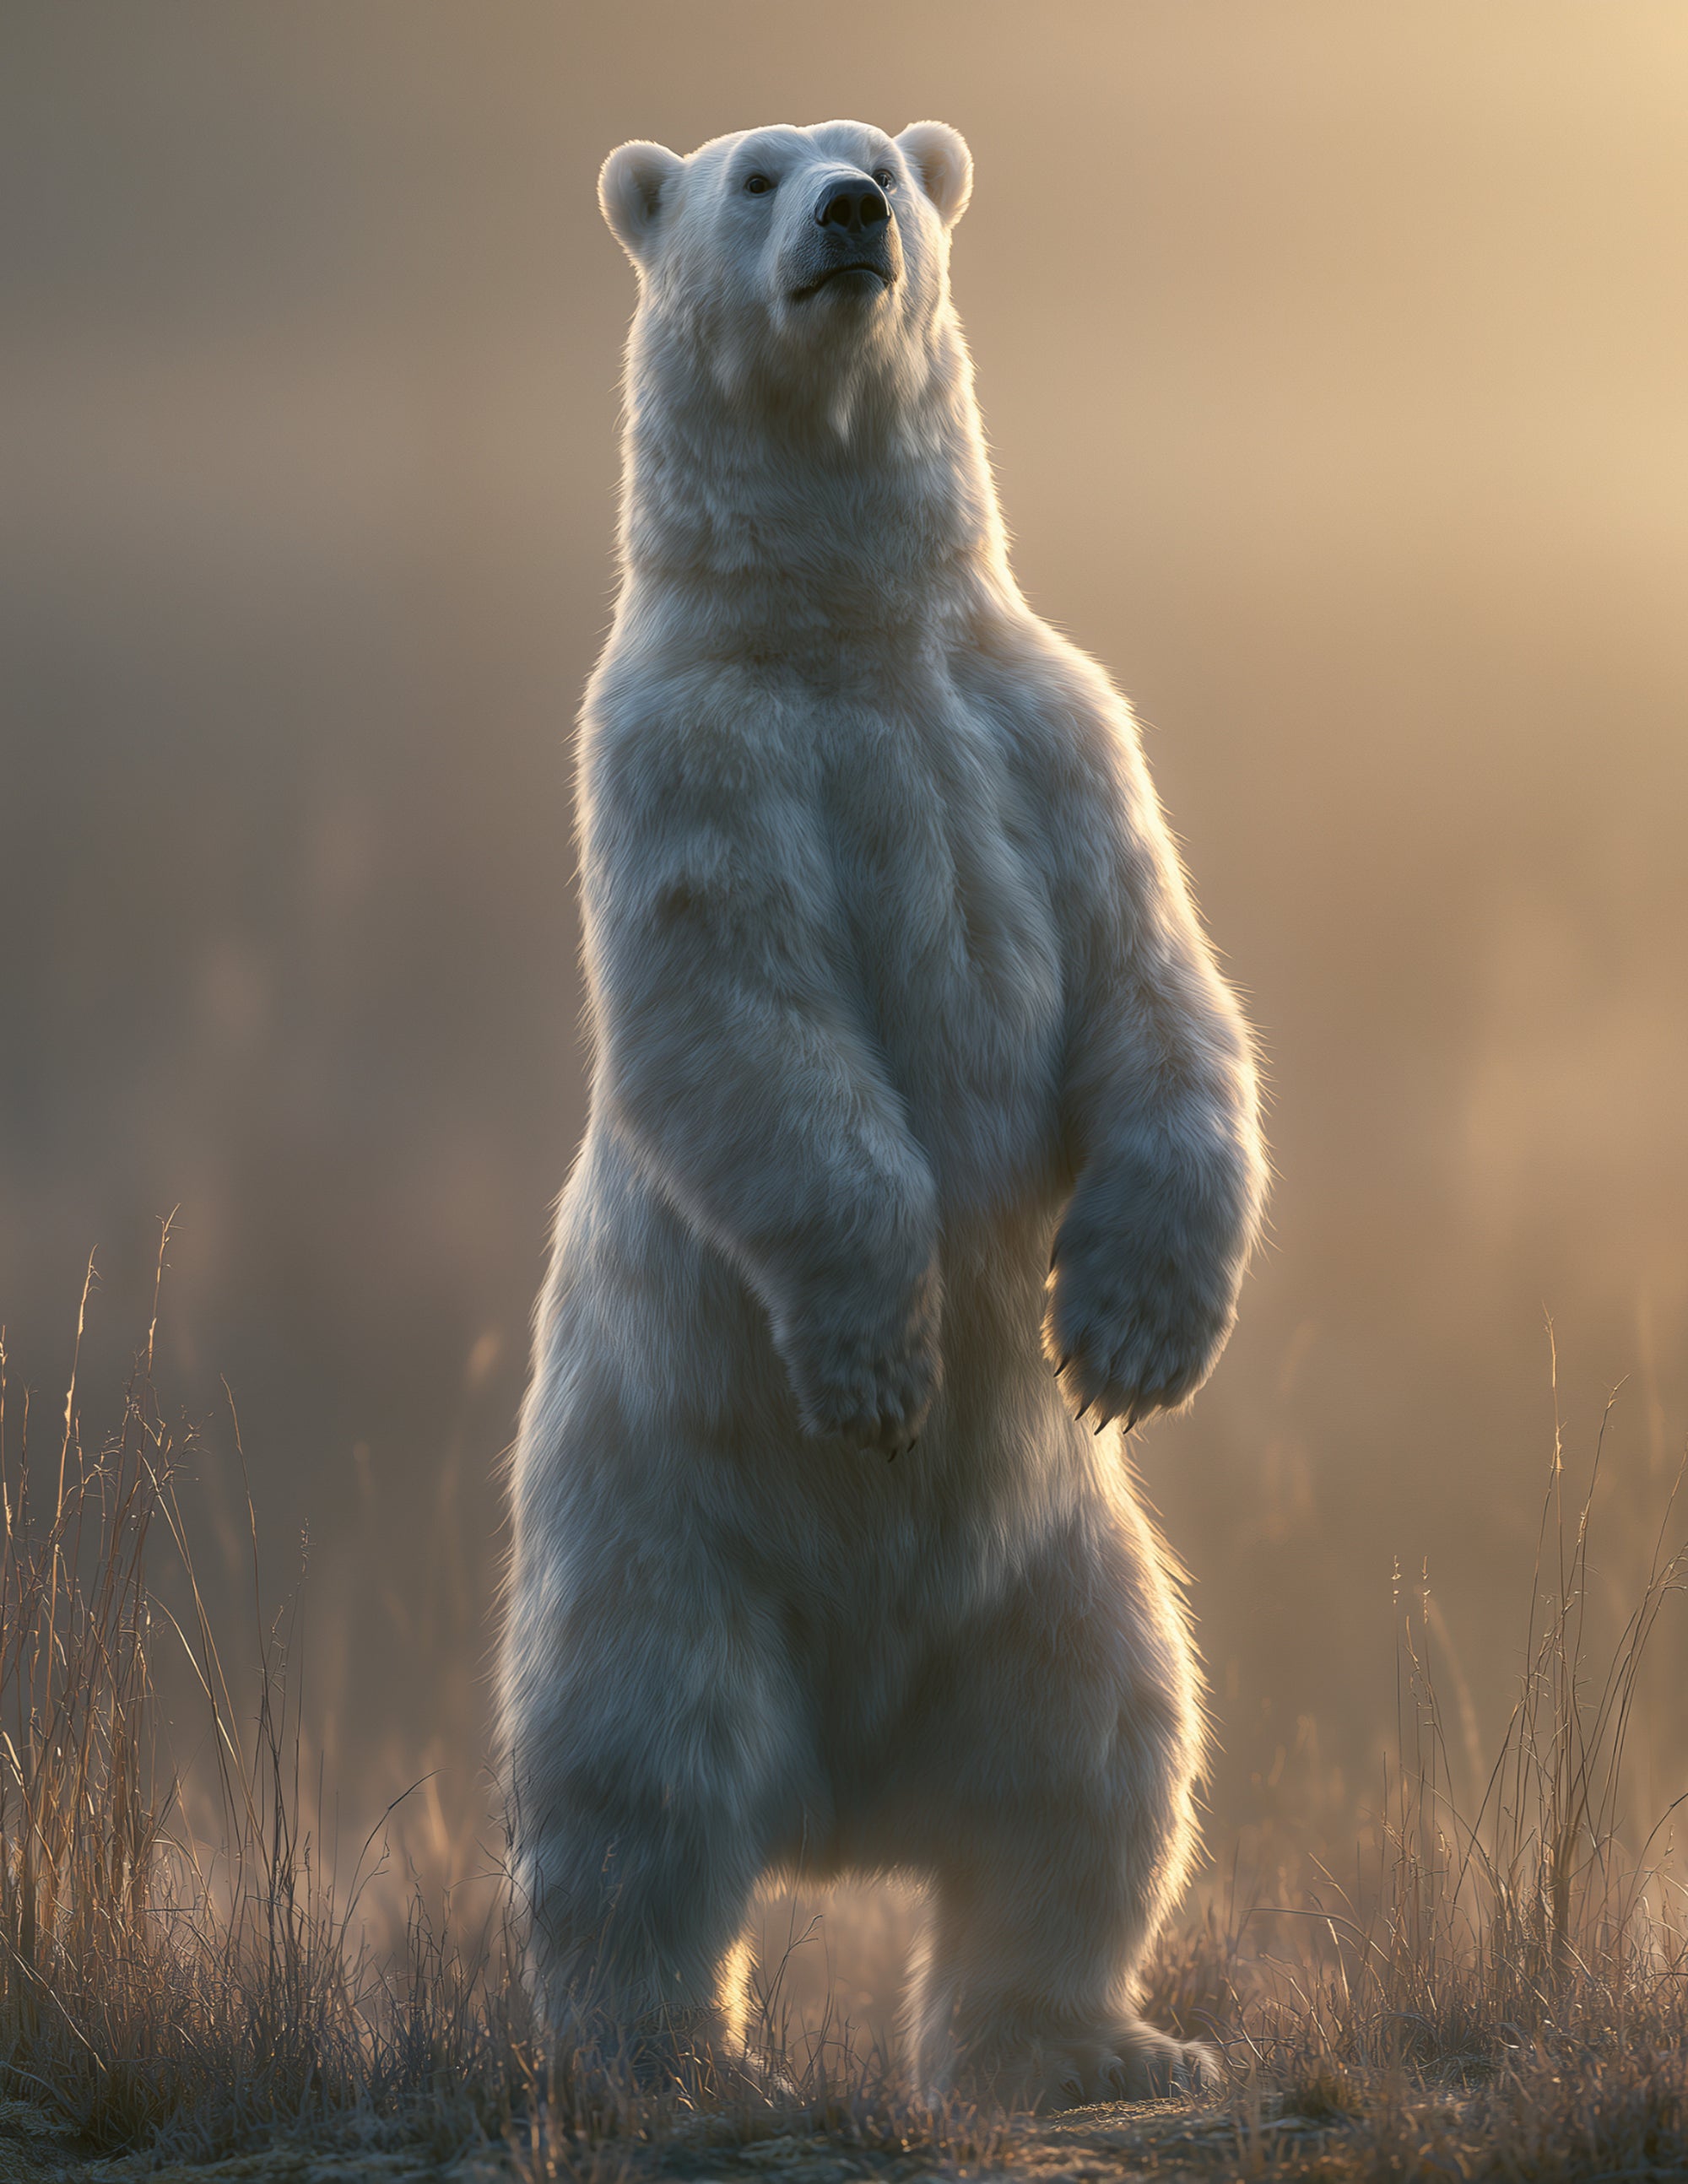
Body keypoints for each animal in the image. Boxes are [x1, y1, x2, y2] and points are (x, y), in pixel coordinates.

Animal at [497, 117, 1266, 2109]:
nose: (854, 216)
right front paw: (879, 1359)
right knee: (641, 1774)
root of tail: (844, 1798)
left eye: (885, 167)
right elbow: (753, 1024)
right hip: (667, 1532)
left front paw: (1136, 1330)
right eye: (756, 175)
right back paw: (666, 2054)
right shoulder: (686, 755)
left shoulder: (1049, 730)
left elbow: (1156, 982)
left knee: (1103, 1755)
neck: (850, 636)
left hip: (1059, 1567)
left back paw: (1098, 2042)